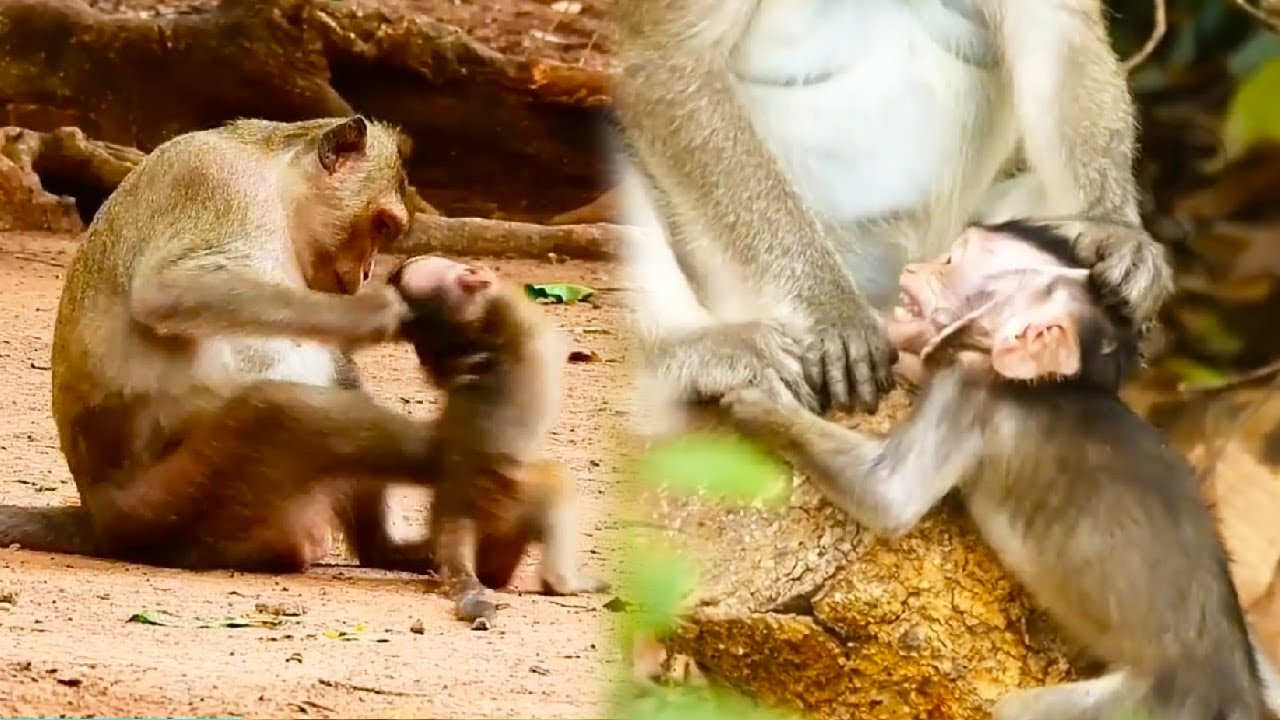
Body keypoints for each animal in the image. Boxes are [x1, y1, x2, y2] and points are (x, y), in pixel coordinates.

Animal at [0, 115, 442, 574]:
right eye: (381, 226)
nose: (369, 270)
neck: (276, 185)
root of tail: (98, 518)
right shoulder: (221, 185)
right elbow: (170, 288)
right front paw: (380, 312)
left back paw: (385, 549)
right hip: (169, 504)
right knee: (280, 413)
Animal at [387, 255, 610, 626]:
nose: (474, 269)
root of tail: (457, 505)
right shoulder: (515, 316)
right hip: (509, 512)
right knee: (558, 481)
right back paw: (561, 582)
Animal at [716, 222, 1280, 720]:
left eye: (950, 263)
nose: (914, 267)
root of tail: (1234, 689)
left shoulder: (968, 388)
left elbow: (888, 497)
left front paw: (756, 401)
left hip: (1156, 706)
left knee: (1017, 711)